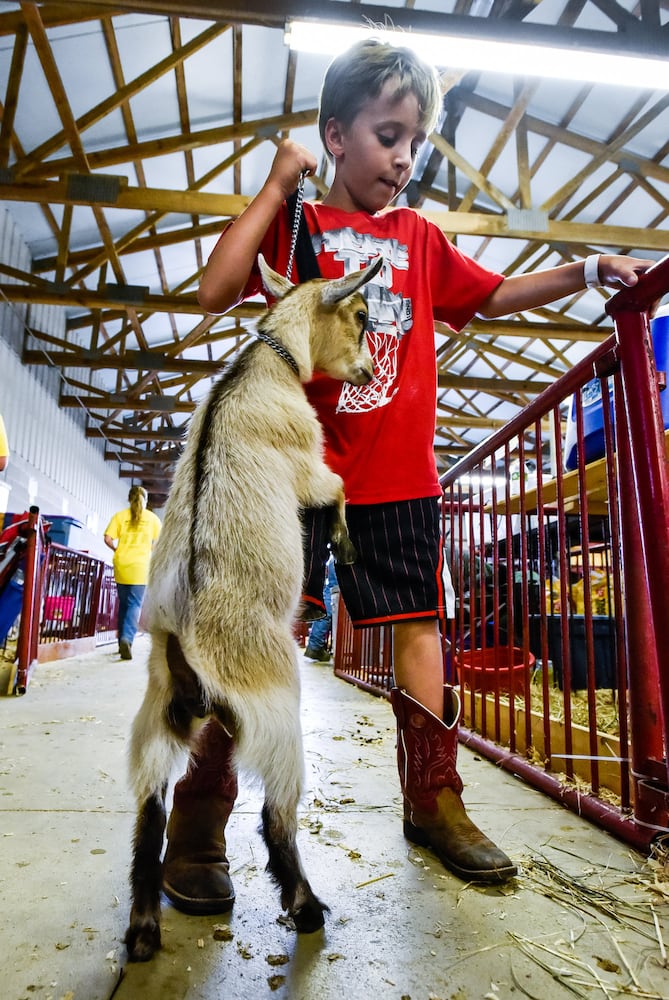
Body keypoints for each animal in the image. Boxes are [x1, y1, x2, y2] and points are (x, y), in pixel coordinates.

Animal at [124, 250, 380, 960]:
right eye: (361, 314)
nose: (368, 372)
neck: (268, 360)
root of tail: (186, 656)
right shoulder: (308, 464)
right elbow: (338, 487)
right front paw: (344, 544)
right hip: (275, 703)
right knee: (275, 814)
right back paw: (307, 907)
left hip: (156, 719)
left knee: (151, 811)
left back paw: (144, 930)